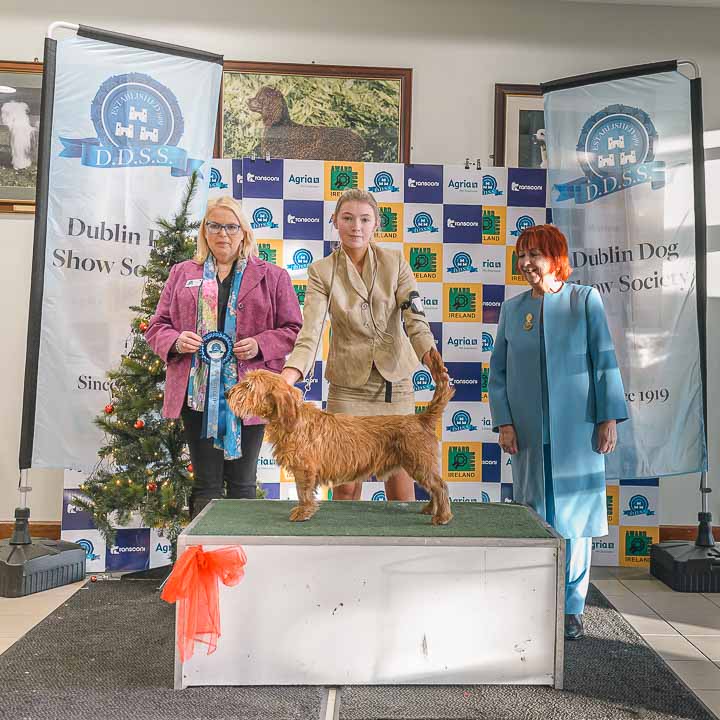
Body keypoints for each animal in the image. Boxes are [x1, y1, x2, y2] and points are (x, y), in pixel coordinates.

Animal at [226, 353, 454, 525]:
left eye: (249, 386)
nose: (228, 392)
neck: (294, 420)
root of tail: (421, 418)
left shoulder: (304, 470)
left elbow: (303, 492)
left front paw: (303, 512)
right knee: (434, 487)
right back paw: (430, 509)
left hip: (419, 464)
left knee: (440, 486)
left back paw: (442, 516)